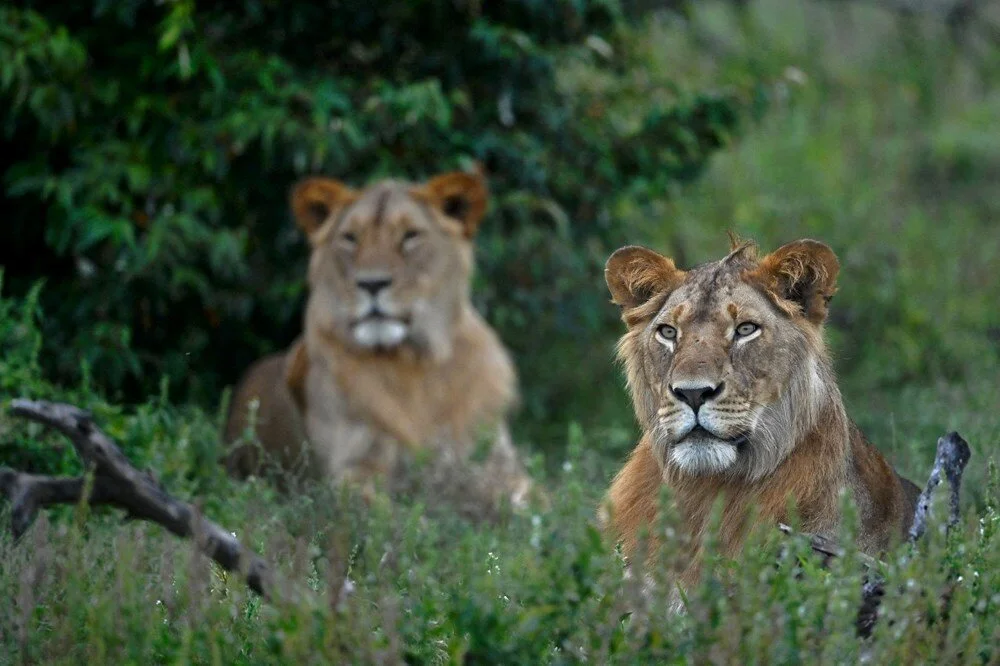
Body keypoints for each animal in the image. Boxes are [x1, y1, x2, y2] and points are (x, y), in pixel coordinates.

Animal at [219, 169, 532, 506]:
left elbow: (534, 503)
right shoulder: (352, 470)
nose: (371, 284)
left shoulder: (500, 467)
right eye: (350, 238)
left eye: (410, 236)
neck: (415, 363)